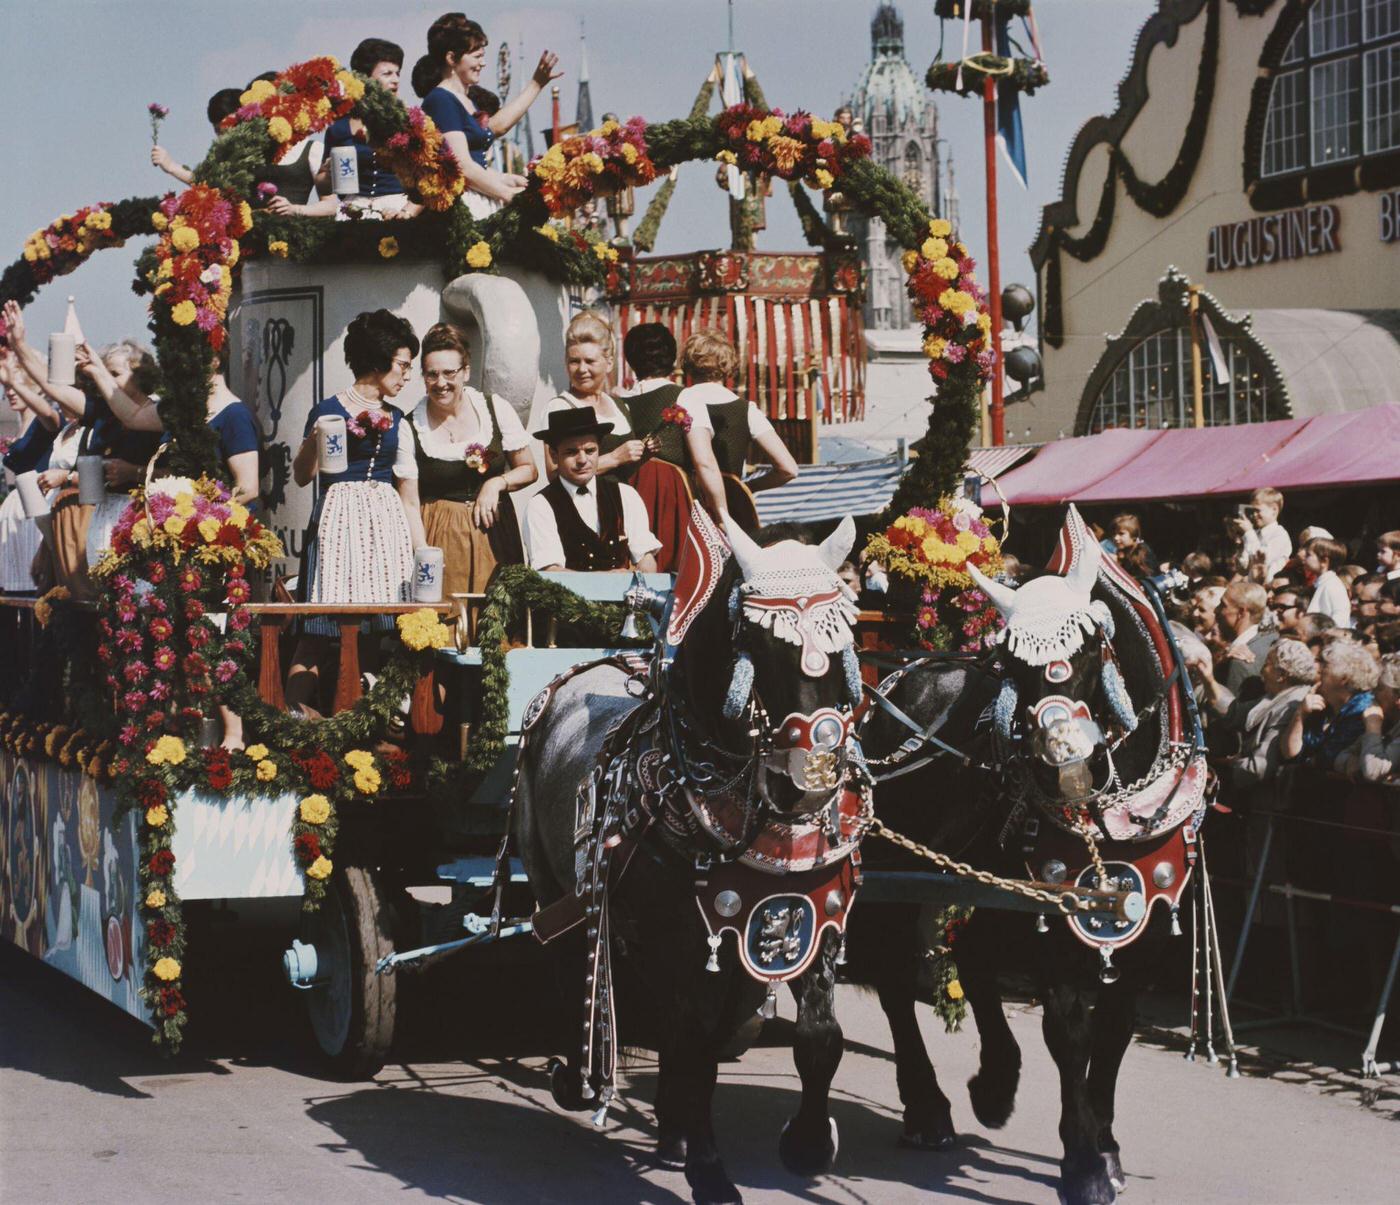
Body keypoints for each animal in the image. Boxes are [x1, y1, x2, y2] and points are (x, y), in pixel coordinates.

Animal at [518, 509, 862, 1203]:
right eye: (757, 643)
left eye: (841, 639)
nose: (810, 776)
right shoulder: (682, 935)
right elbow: (698, 1046)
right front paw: (709, 1169)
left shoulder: (813, 918)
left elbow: (819, 1037)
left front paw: (809, 1145)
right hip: (555, 885)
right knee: (574, 967)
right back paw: (579, 1079)